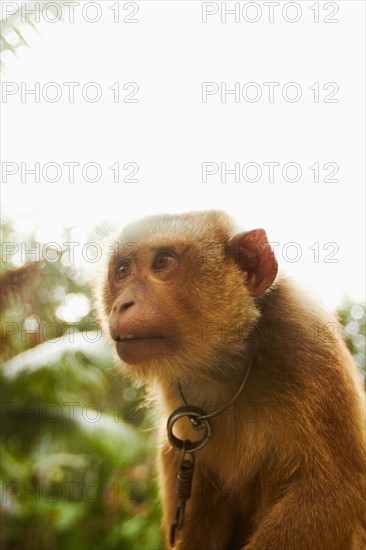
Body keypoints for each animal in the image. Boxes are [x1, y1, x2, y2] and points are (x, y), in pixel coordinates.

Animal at [95, 211, 366, 550]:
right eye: (122, 271)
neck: (229, 364)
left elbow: (334, 492)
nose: (122, 305)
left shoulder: (307, 341)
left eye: (162, 262)